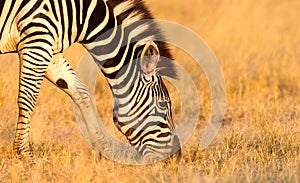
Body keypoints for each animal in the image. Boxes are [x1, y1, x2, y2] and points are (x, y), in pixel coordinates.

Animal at [0, 0, 180, 163]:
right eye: (164, 106)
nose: (176, 157)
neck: (79, 13)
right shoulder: (37, 41)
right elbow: (27, 99)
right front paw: (24, 155)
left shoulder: (50, 49)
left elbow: (81, 93)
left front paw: (106, 153)